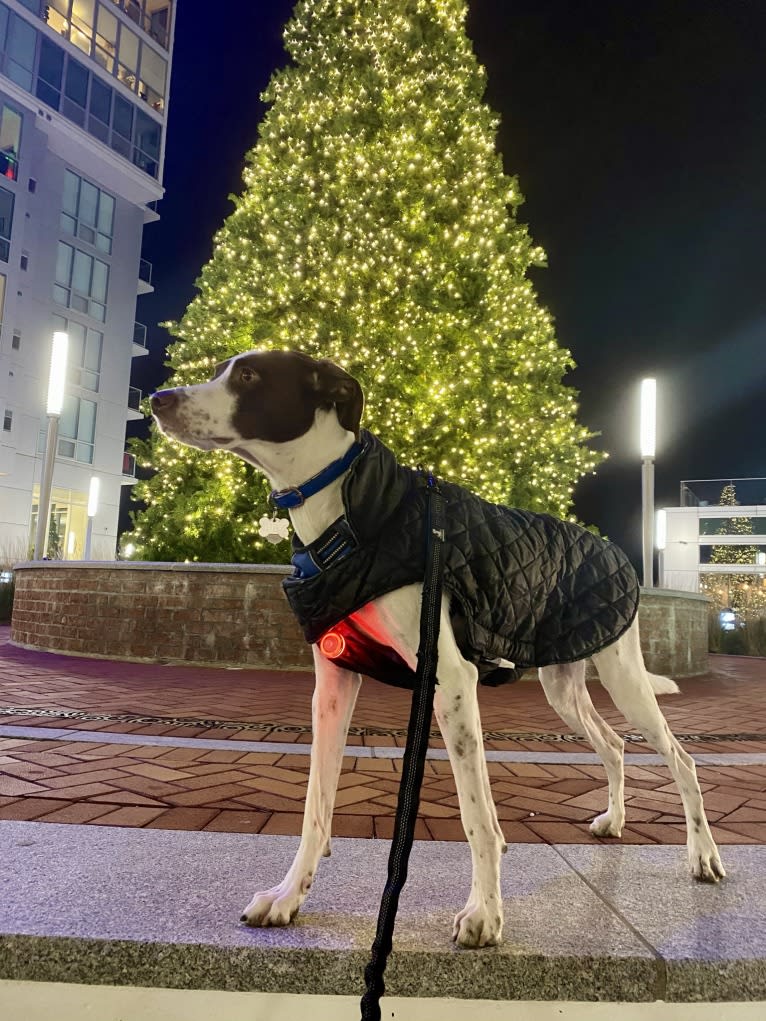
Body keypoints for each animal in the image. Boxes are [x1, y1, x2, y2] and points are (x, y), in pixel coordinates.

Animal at [153, 349, 727, 947]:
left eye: (247, 376)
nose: (157, 400)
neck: (349, 514)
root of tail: (610, 547)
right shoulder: (333, 683)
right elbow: (316, 806)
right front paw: (289, 896)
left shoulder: (450, 680)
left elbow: (477, 817)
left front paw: (485, 914)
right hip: (563, 685)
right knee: (613, 745)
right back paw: (614, 821)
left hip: (624, 676)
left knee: (682, 759)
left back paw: (703, 855)